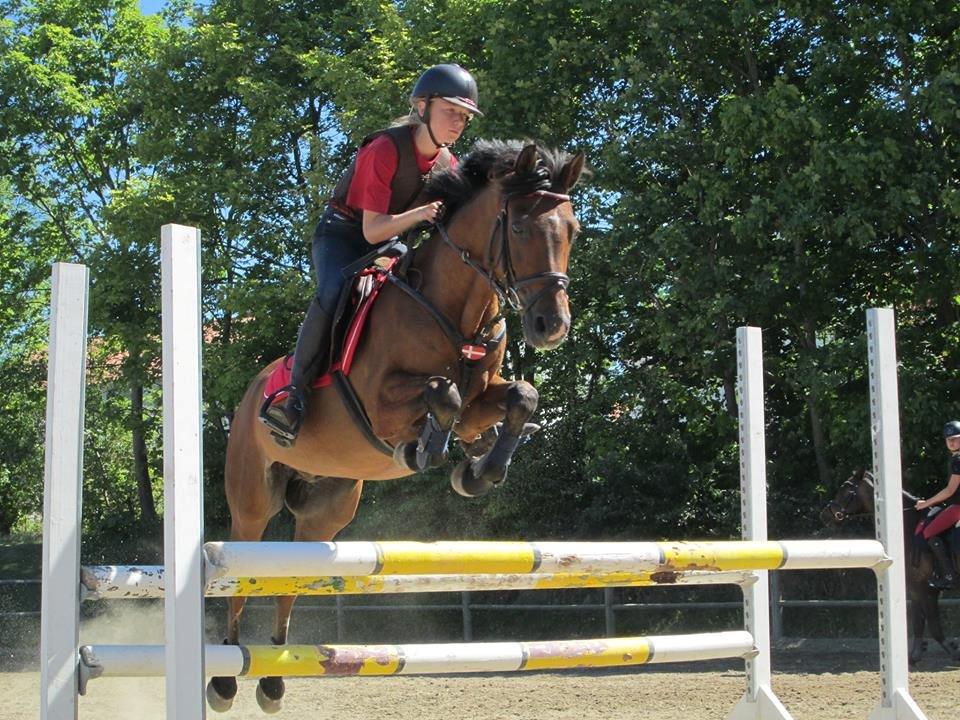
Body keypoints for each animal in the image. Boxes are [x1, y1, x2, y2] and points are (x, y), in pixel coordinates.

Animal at [206, 140, 586, 712]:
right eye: (519, 227)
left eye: (574, 229)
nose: (551, 327)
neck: (455, 310)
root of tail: (250, 395)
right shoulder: (380, 404)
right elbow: (443, 393)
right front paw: (425, 451)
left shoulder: (485, 396)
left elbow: (520, 395)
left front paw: (478, 469)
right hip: (252, 501)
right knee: (242, 573)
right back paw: (227, 679)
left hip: (326, 513)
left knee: (288, 576)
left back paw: (272, 682)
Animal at [820, 467, 960, 665]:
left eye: (845, 490)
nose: (824, 515)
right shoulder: (915, 588)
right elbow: (918, 622)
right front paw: (914, 656)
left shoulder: (923, 587)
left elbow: (932, 625)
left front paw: (952, 652)